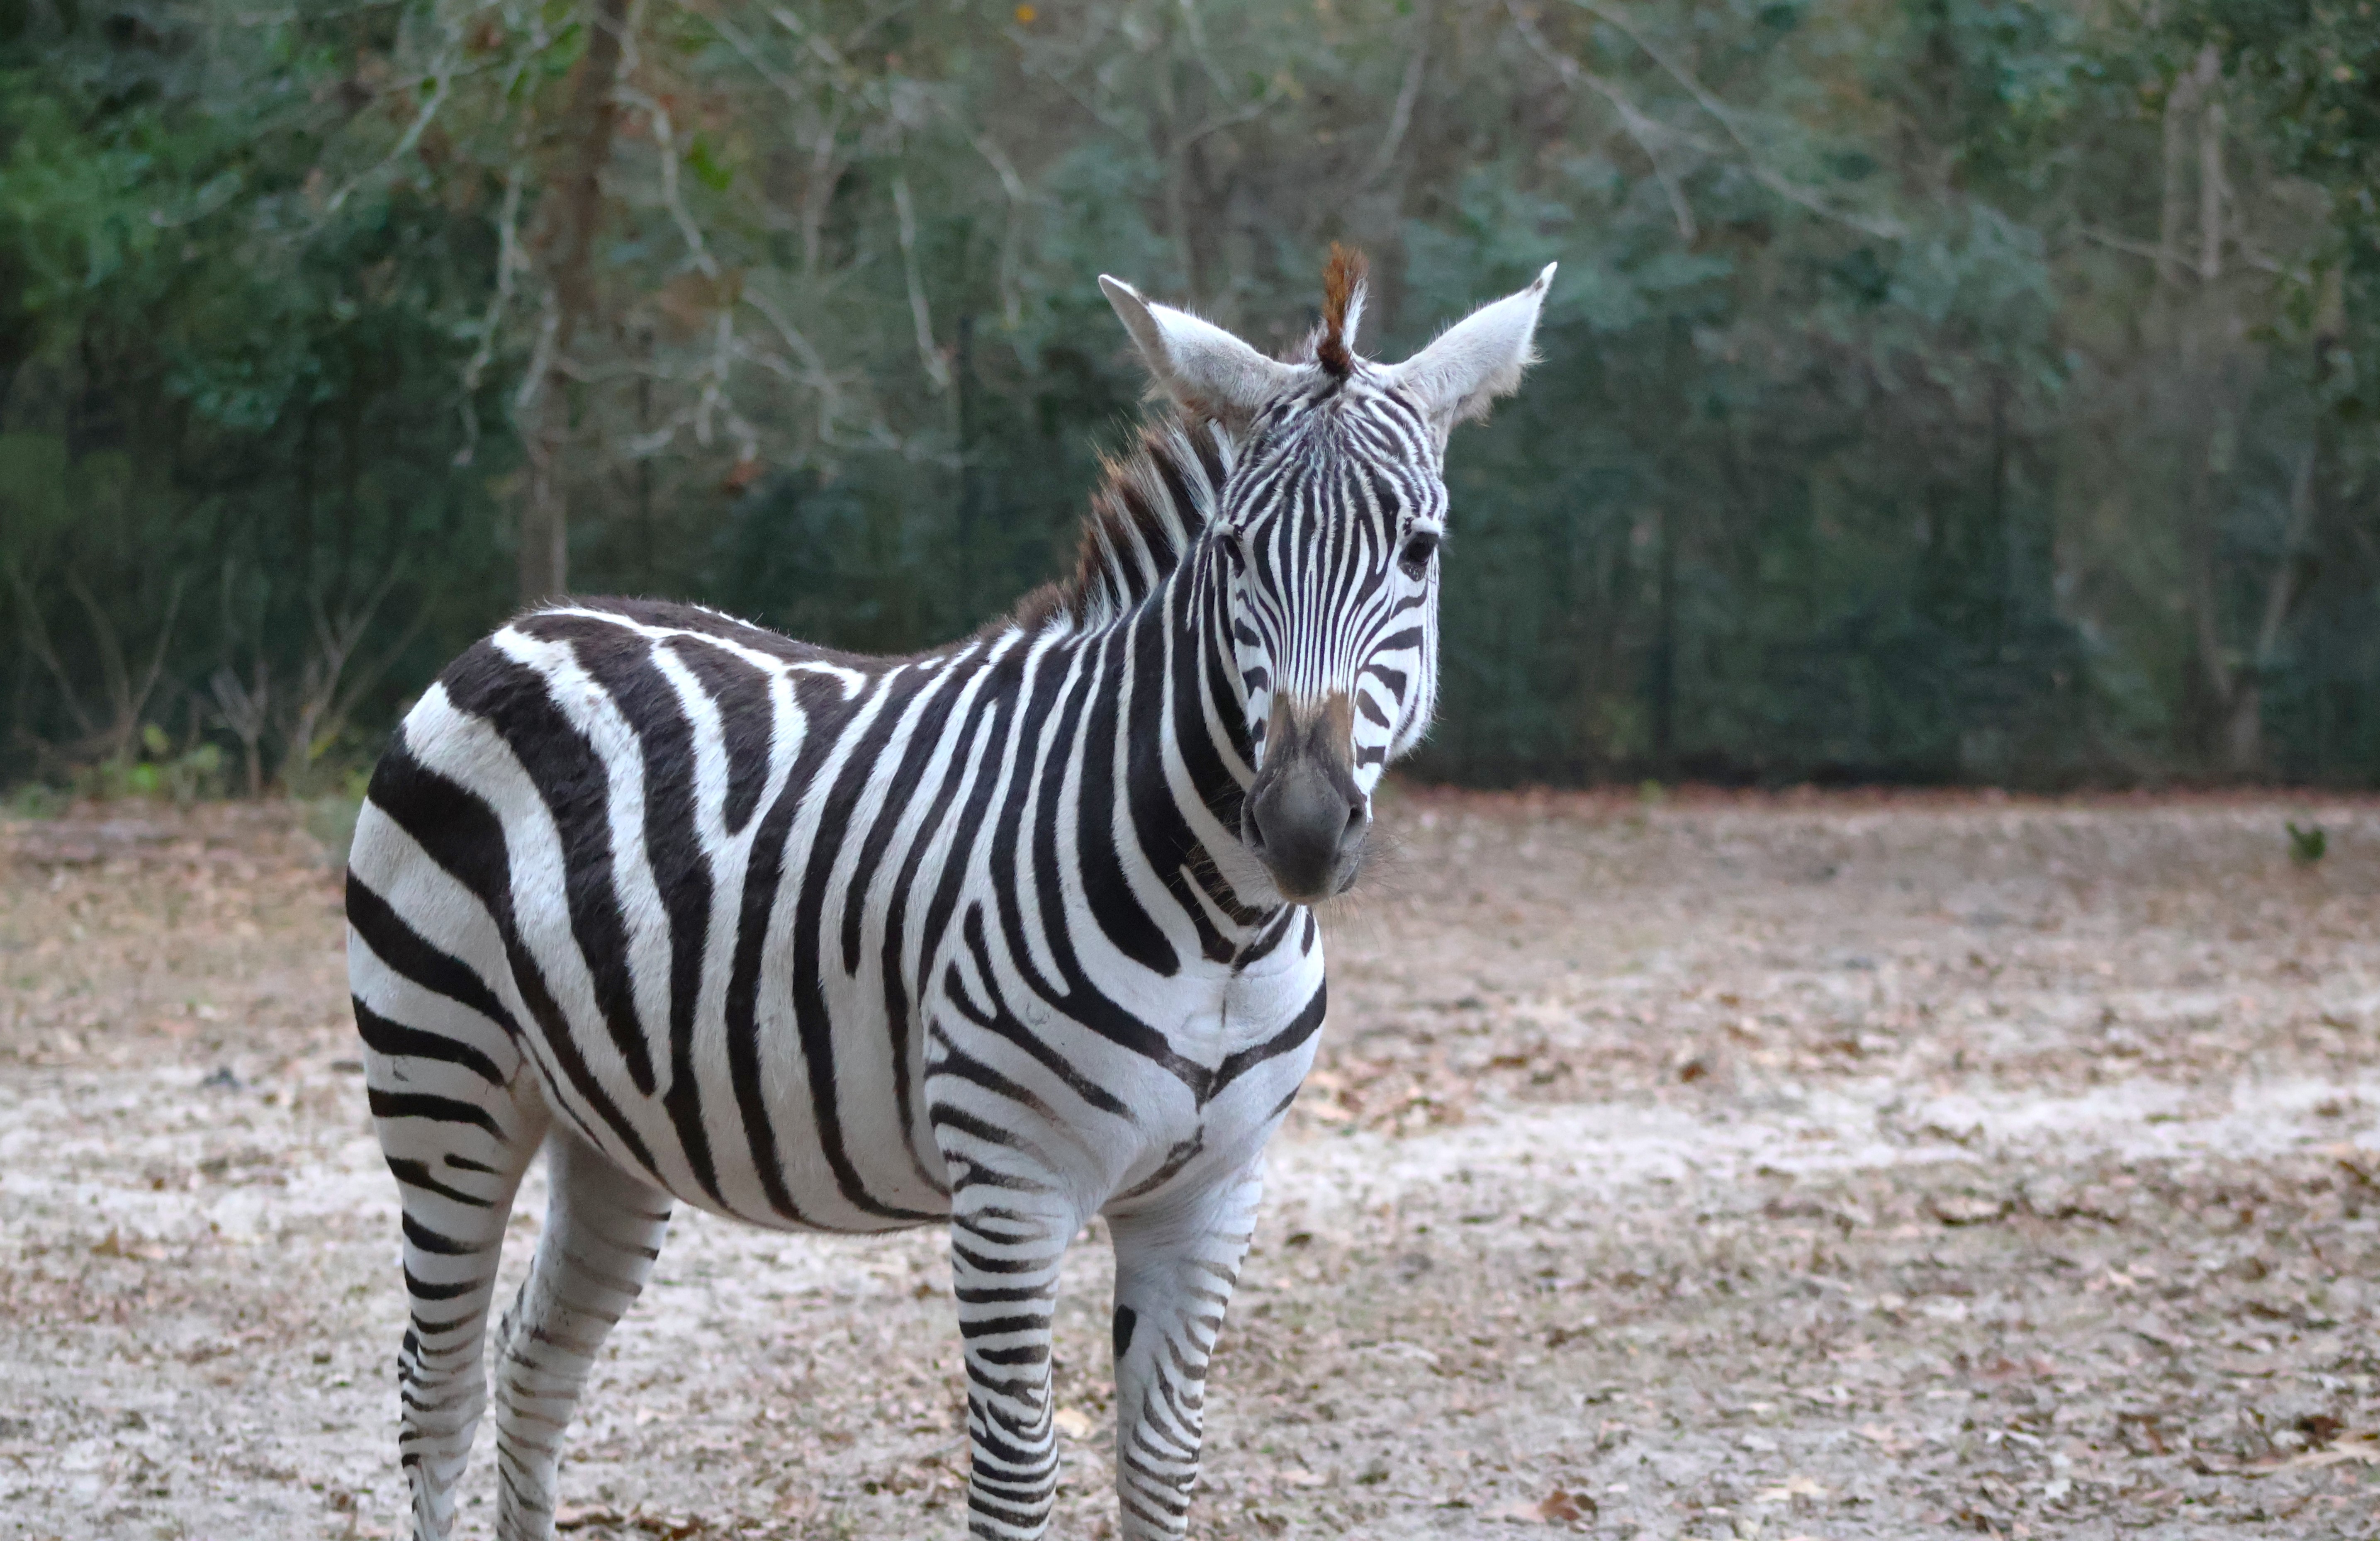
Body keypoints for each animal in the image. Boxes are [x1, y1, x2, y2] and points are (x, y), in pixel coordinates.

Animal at [346, 246, 1553, 1541]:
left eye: (1419, 550)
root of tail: (522, 627)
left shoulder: (1212, 1197)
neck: (1226, 930)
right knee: (437, 1390)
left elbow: (1160, 1464)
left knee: (535, 1364)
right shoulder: (1012, 1189)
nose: (1300, 826)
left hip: (607, 1126)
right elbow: (1017, 1477)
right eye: (1232, 550)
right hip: (445, 1084)